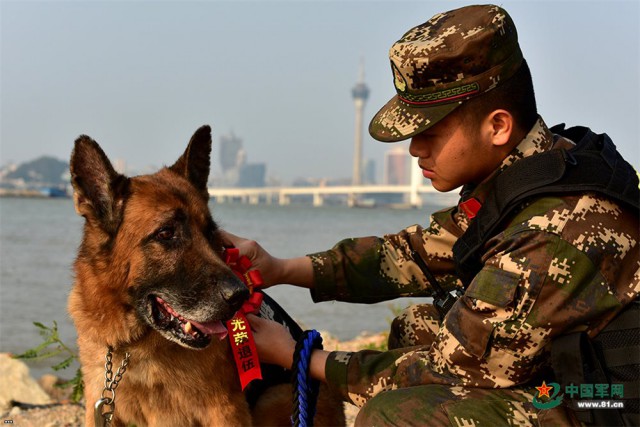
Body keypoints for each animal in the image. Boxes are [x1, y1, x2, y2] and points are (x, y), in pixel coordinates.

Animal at [69, 125, 344, 426]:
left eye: (211, 232)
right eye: (166, 233)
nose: (240, 295)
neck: (133, 345)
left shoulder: (225, 410)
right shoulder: (100, 407)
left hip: (275, 397)